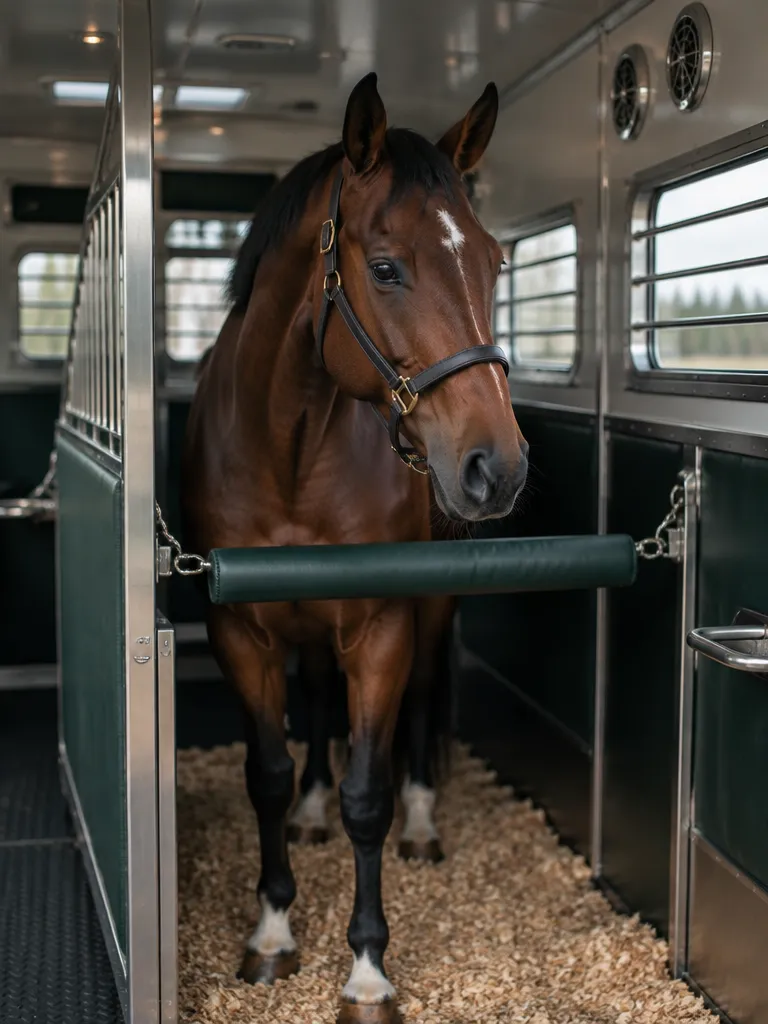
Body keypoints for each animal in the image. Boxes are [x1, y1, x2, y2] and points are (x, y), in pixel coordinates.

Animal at [180, 71, 528, 1024]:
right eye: (385, 267)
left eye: (495, 262)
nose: (498, 467)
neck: (290, 447)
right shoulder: (244, 633)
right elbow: (266, 771)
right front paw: (271, 929)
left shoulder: (379, 627)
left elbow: (368, 792)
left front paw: (367, 969)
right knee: (316, 703)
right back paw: (310, 811)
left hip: (428, 611)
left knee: (419, 708)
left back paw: (422, 821)